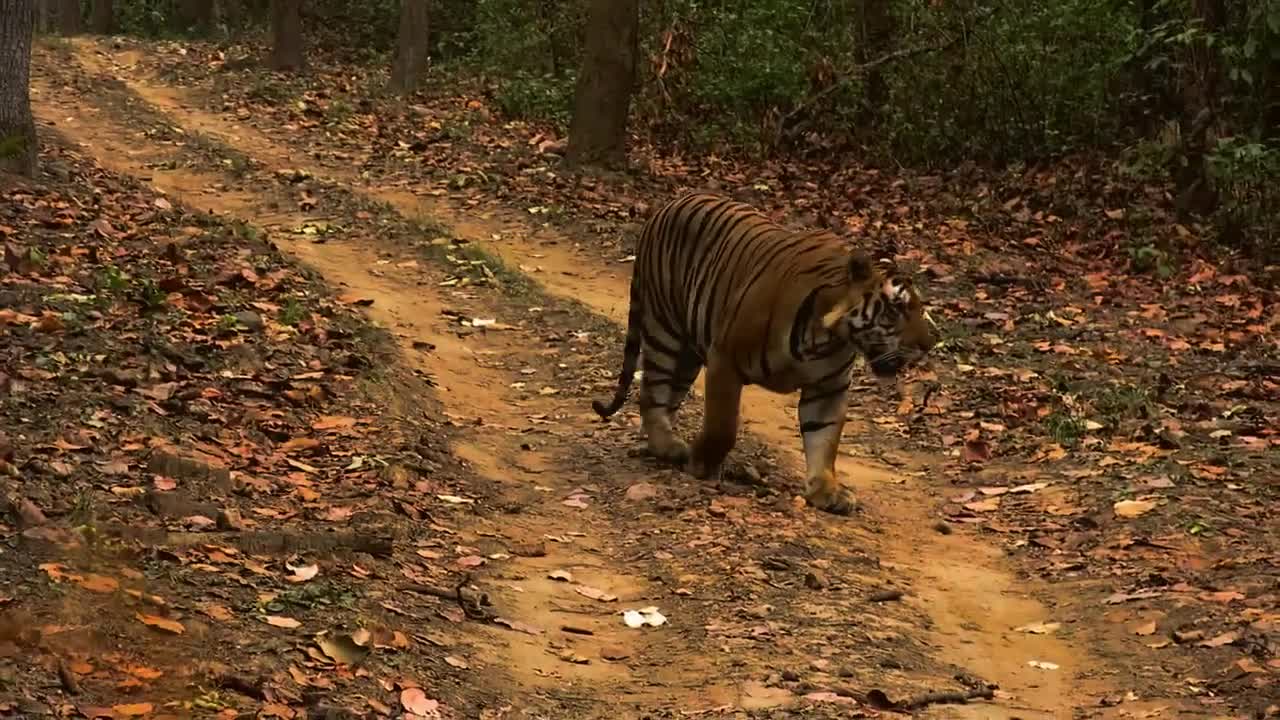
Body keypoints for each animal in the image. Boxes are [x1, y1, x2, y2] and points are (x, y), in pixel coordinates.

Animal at [586, 193, 931, 512]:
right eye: (896, 308)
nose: (931, 342)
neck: (829, 337)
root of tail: (666, 206)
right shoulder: (725, 360)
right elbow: (723, 427)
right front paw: (701, 464)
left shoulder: (828, 387)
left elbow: (824, 438)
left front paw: (827, 491)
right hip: (665, 331)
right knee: (651, 393)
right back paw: (671, 448)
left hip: (686, 351)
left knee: (667, 398)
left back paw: (661, 445)